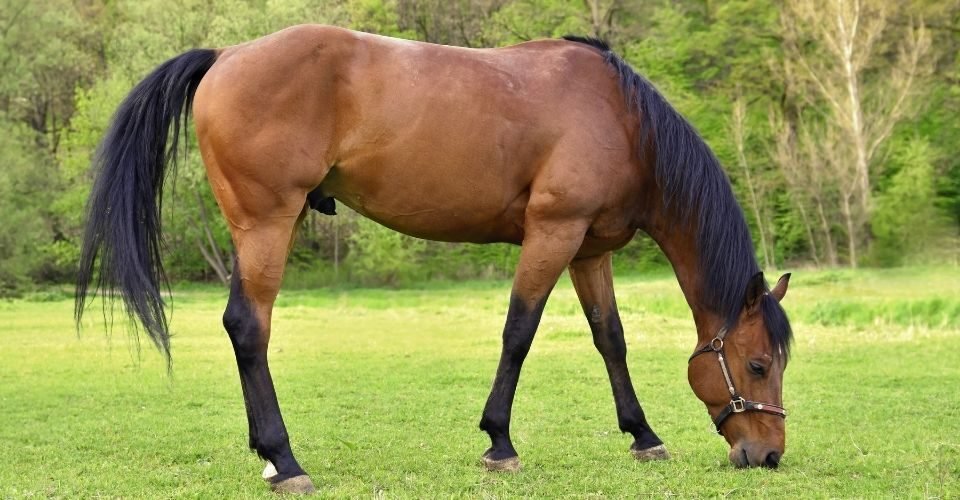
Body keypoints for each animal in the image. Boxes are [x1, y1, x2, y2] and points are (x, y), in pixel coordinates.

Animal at [75, 25, 793, 494]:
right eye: (757, 364)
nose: (767, 454)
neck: (619, 117)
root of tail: (227, 55)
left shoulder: (589, 249)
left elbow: (608, 338)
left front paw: (642, 435)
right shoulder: (552, 233)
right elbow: (519, 332)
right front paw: (499, 442)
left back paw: (270, 457)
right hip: (268, 224)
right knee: (249, 328)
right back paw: (286, 460)